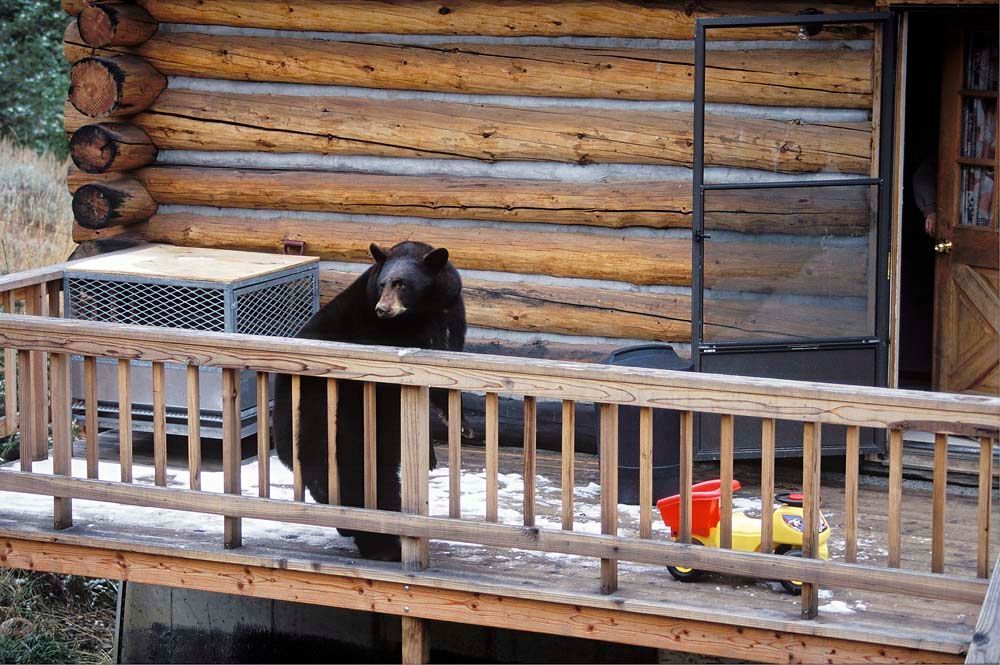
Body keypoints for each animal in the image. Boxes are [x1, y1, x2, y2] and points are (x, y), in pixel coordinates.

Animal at [273, 241, 466, 561]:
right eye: (383, 284)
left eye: (402, 284)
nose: (382, 309)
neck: (426, 311)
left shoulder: (452, 318)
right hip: (341, 430)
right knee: (365, 487)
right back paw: (385, 545)